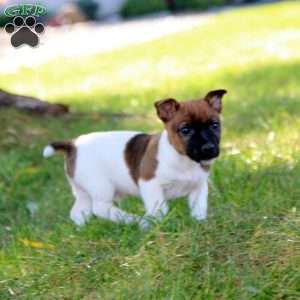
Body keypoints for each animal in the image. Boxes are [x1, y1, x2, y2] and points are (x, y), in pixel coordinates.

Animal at [42, 89, 226, 227]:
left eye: (215, 125)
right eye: (185, 130)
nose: (209, 148)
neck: (183, 159)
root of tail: (73, 144)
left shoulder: (199, 187)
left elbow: (199, 208)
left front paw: (199, 224)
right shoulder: (150, 185)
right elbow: (159, 209)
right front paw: (158, 225)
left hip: (83, 191)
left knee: (78, 211)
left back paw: (82, 228)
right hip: (101, 187)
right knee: (101, 209)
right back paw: (133, 220)